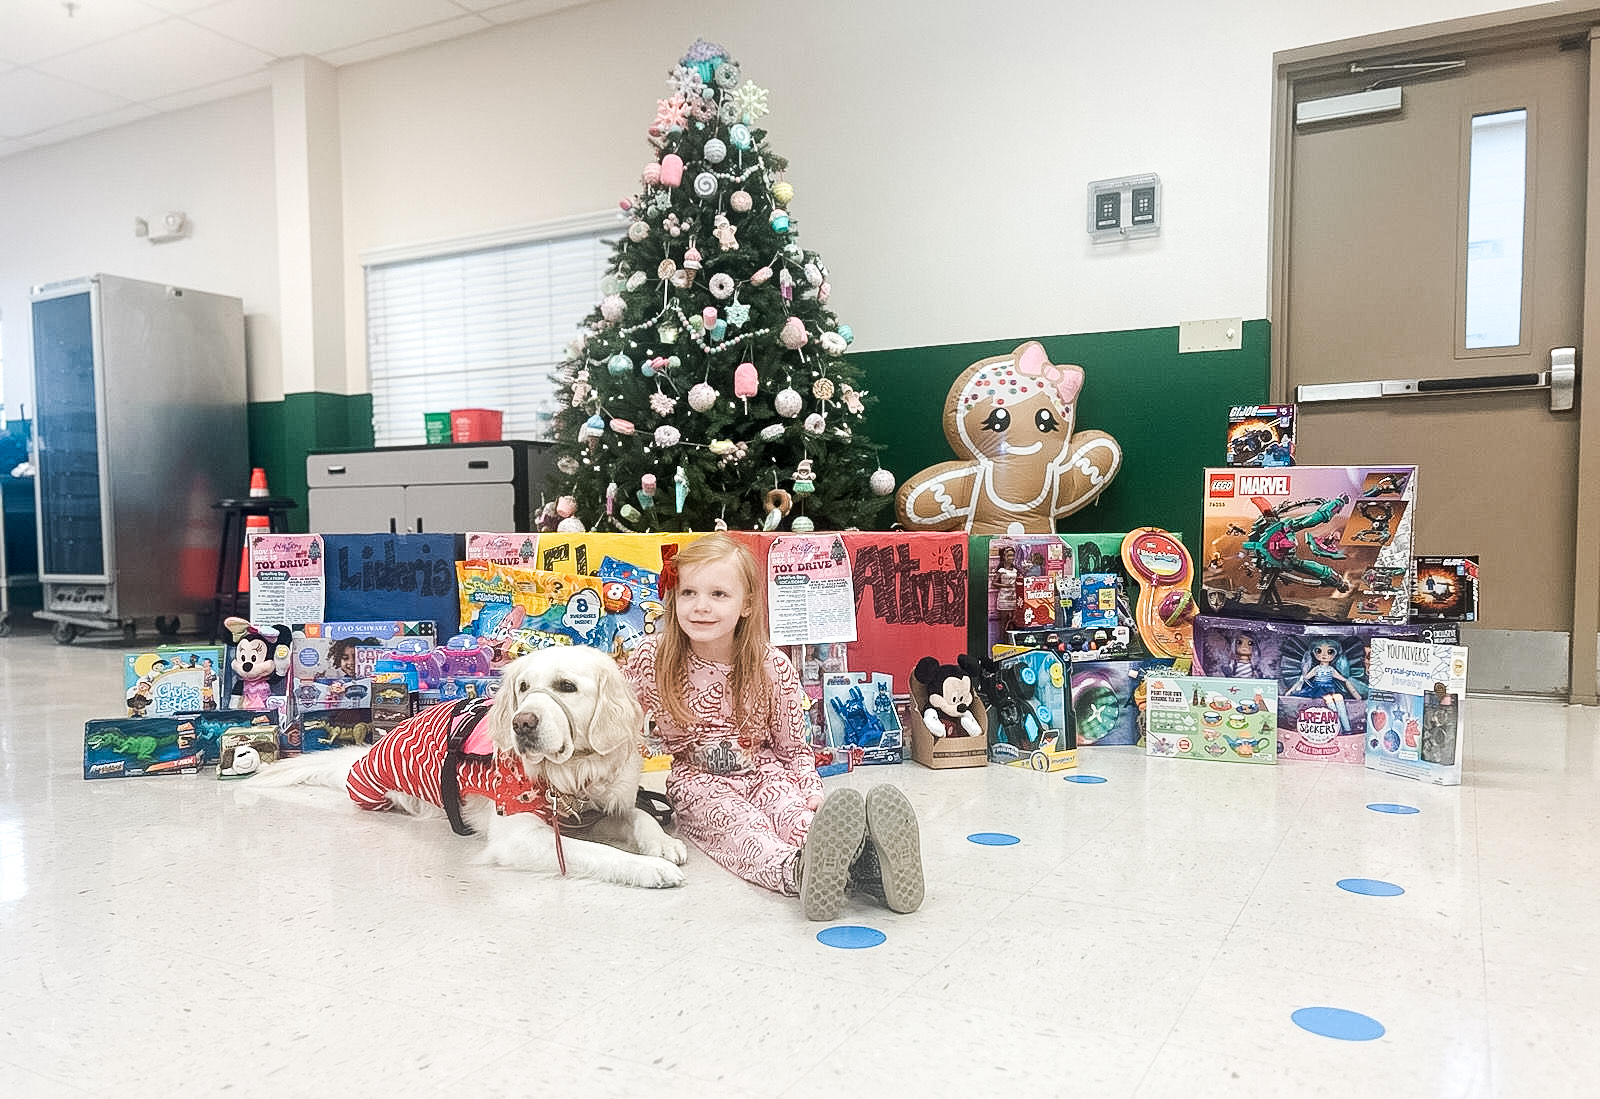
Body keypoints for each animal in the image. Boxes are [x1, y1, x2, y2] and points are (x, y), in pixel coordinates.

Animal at [250, 646, 688, 888]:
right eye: (523, 688)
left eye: (567, 687)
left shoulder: (600, 807)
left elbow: (639, 814)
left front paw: (662, 844)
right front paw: (648, 868)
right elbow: (598, 853)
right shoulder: (520, 837)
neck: (571, 774)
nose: (521, 724)